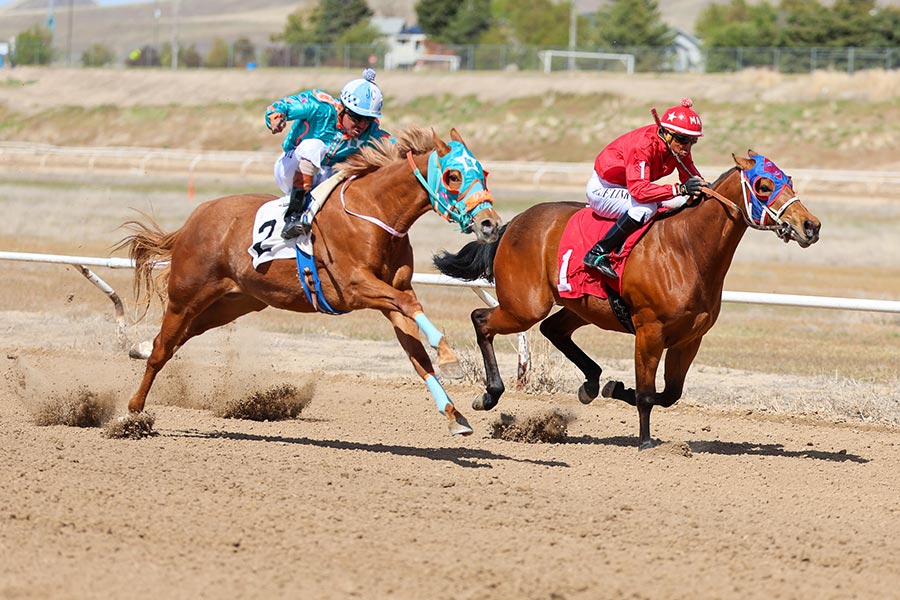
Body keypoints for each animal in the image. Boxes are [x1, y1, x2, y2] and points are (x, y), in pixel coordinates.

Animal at [117, 127, 502, 436]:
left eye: (483, 172)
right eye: (453, 176)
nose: (490, 223)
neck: (374, 213)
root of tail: (193, 220)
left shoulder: (391, 294)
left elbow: (417, 354)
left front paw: (454, 415)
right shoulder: (356, 287)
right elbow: (412, 307)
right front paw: (450, 359)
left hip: (232, 303)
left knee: (175, 339)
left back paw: (140, 350)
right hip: (187, 294)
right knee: (164, 348)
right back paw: (133, 412)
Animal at [433, 151, 821, 449]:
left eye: (788, 178)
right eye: (763, 185)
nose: (811, 226)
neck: (687, 248)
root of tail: (510, 225)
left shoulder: (689, 339)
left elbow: (670, 393)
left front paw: (614, 387)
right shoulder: (649, 331)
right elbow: (648, 394)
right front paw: (646, 441)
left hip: (579, 306)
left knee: (553, 329)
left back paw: (591, 382)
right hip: (524, 305)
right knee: (482, 318)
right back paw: (489, 394)